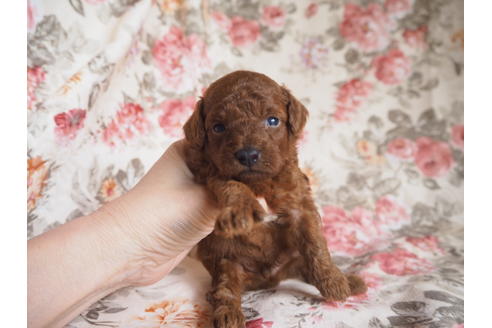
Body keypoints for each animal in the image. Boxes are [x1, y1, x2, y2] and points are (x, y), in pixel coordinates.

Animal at [183, 70, 368, 326]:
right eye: (218, 127)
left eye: (272, 121)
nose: (248, 155)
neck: (260, 183)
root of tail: (267, 280)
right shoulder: (209, 172)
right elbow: (232, 184)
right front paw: (241, 211)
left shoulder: (300, 203)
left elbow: (316, 246)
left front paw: (334, 282)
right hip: (226, 262)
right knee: (225, 288)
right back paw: (227, 314)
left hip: (292, 258)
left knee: (305, 267)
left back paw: (349, 281)